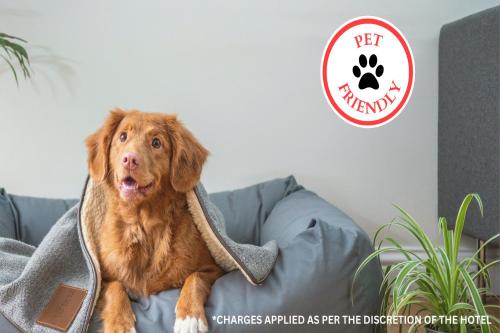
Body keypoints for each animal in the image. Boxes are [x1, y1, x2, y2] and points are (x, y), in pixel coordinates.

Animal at [85, 109, 222, 332]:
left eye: (156, 142)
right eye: (122, 137)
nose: (129, 159)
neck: (143, 224)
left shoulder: (213, 268)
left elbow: (195, 278)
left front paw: (189, 317)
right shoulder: (101, 280)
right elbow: (115, 287)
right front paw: (120, 324)